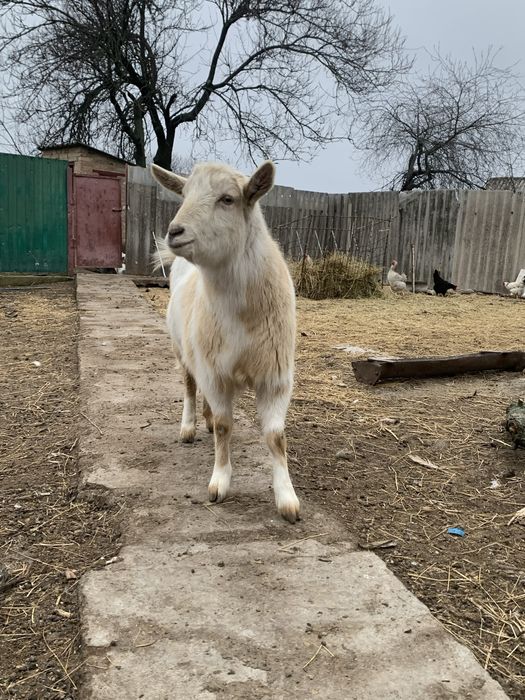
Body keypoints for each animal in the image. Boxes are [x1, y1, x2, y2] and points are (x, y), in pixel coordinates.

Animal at [151, 160, 300, 523]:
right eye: (185, 194)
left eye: (227, 199)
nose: (174, 232)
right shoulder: (215, 371)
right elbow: (223, 426)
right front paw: (219, 482)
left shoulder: (275, 375)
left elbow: (276, 437)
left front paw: (287, 498)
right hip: (183, 348)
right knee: (190, 386)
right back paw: (189, 426)